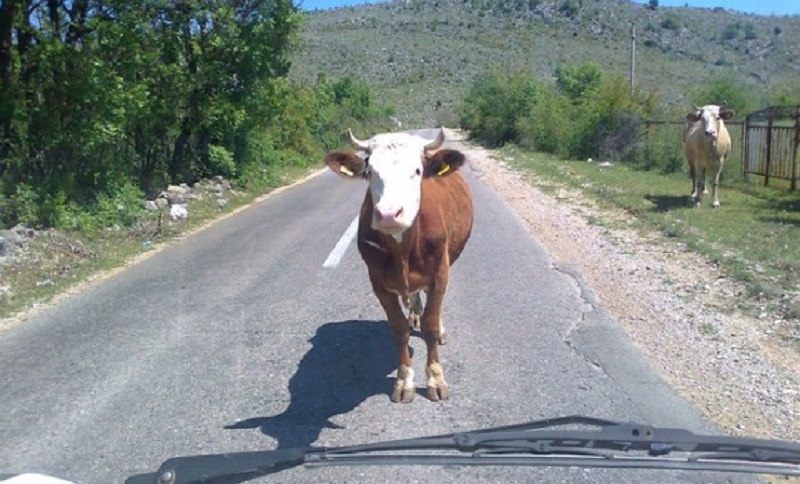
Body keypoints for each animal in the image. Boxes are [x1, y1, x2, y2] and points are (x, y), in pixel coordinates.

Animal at [324, 129, 476, 404]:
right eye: (369, 172)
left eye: (417, 170)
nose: (388, 214)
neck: (403, 249)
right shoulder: (378, 283)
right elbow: (399, 329)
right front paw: (405, 381)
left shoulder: (440, 273)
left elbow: (430, 326)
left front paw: (436, 378)